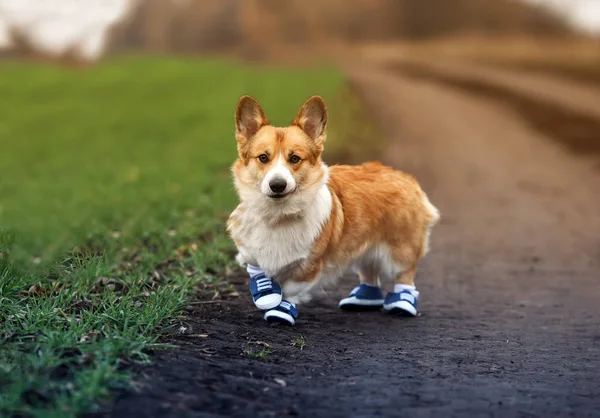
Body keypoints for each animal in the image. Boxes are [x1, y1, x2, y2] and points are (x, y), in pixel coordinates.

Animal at [227, 95, 438, 314]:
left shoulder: (309, 266)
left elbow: (290, 290)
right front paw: (266, 294)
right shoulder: (251, 253)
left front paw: (281, 311)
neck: (277, 216)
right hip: (364, 247)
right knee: (370, 272)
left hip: (401, 250)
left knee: (405, 276)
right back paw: (362, 299)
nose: (277, 185)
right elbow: (259, 272)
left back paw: (401, 303)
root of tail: (405, 177)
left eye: (294, 158)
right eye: (263, 157)